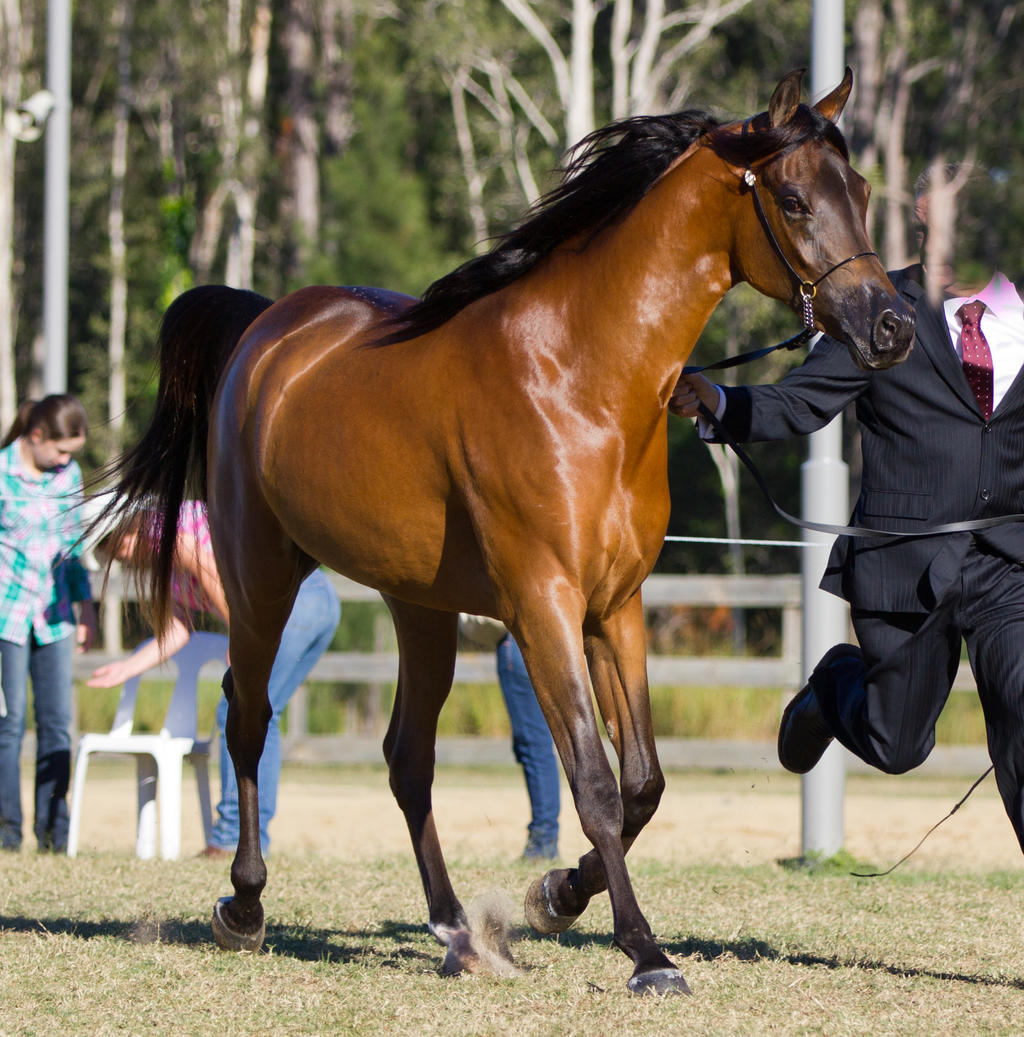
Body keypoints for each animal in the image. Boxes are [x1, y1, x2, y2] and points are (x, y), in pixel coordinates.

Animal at [98, 68, 912, 991]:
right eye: (794, 199)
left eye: (862, 191)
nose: (890, 326)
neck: (581, 377)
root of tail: (268, 329)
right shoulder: (542, 605)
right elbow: (594, 783)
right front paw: (645, 951)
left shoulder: (614, 608)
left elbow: (644, 782)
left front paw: (556, 895)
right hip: (261, 577)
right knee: (248, 717)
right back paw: (243, 904)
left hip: (420, 607)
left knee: (407, 757)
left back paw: (456, 931)